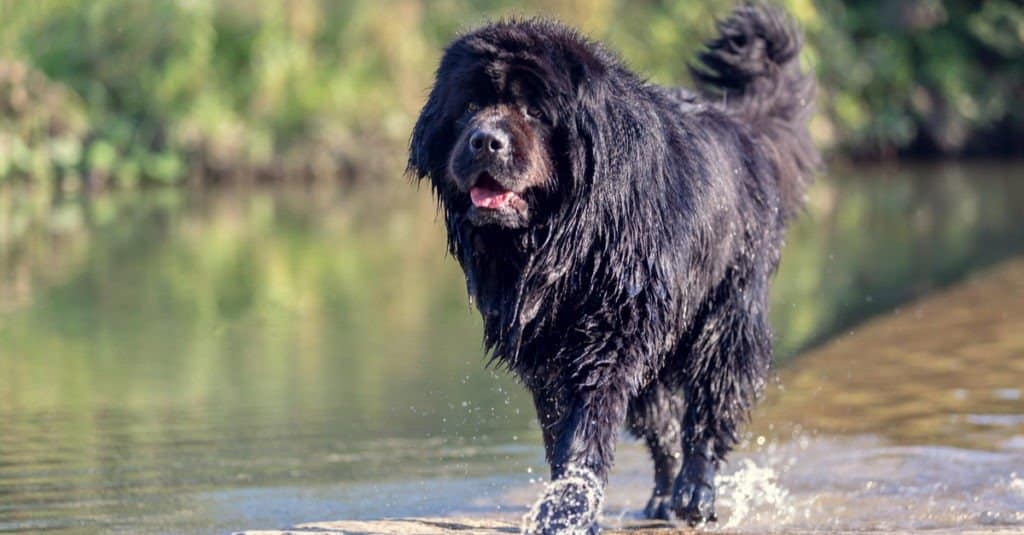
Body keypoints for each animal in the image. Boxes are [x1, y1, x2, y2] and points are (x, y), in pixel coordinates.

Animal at [407, 3, 815, 528]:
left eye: (534, 111)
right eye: (469, 106)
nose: (485, 141)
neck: (567, 241)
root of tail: (742, 129)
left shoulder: (608, 336)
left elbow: (587, 424)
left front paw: (566, 509)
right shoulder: (549, 350)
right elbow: (562, 429)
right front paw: (573, 502)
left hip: (726, 315)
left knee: (708, 409)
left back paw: (695, 494)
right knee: (662, 426)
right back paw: (662, 497)